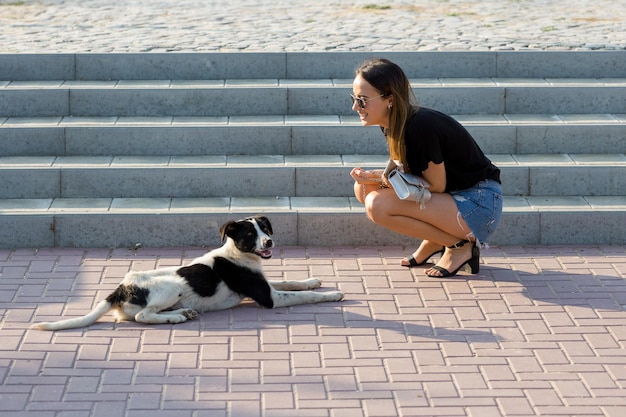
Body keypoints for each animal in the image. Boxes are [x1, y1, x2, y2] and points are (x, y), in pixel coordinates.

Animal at [34, 216, 344, 330]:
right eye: (249, 234)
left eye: (265, 229)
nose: (269, 243)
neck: (236, 254)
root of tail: (120, 288)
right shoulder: (269, 297)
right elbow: (304, 297)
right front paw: (332, 294)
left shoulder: (265, 284)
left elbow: (291, 281)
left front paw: (312, 280)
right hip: (173, 287)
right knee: (143, 316)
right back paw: (176, 317)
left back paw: (183, 313)